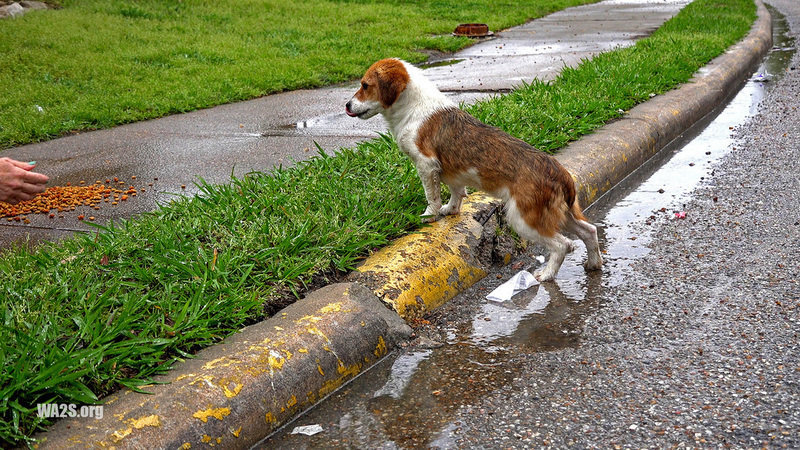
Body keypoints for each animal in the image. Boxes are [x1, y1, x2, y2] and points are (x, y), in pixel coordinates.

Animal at [345, 58, 603, 281]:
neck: (414, 107)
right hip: (560, 213)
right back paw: (594, 263)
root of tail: (561, 174)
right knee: (589, 231)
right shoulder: (451, 173)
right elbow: (456, 193)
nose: (347, 105)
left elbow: (432, 196)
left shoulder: (426, 165)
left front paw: (430, 215)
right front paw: (450, 209)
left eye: (365, 85)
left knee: (562, 245)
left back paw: (547, 274)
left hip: (525, 218)